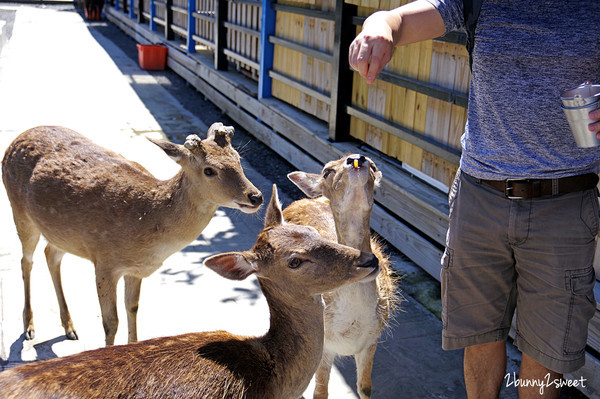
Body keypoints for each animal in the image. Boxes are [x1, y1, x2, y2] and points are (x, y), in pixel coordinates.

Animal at [1, 124, 262, 346]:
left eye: (238, 160)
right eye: (209, 170)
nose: (256, 196)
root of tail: (16, 139)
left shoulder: (135, 270)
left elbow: (133, 309)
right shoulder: (104, 262)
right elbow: (110, 322)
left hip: (59, 231)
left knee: (51, 255)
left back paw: (69, 327)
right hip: (19, 211)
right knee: (26, 261)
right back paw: (29, 327)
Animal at [284, 154, 400, 399]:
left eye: (373, 165)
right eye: (327, 170)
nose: (356, 158)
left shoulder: (371, 340)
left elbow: (365, 388)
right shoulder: (324, 345)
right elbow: (320, 393)